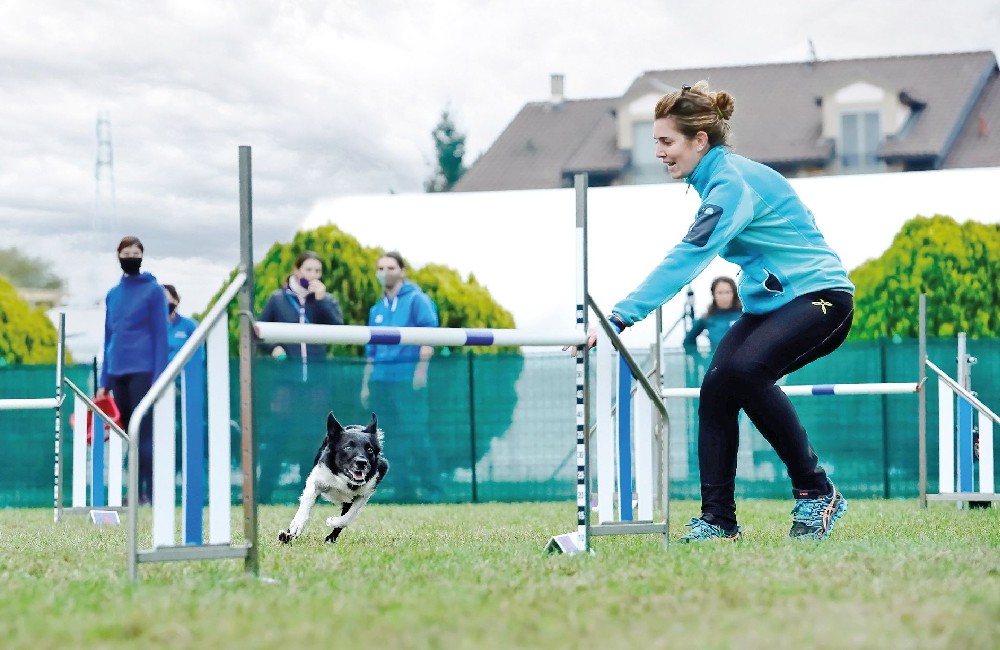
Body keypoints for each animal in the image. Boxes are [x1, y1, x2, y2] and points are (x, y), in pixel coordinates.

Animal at [278, 410, 386, 540]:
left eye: (370, 449)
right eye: (347, 447)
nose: (362, 463)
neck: (344, 480)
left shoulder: (365, 491)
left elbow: (349, 515)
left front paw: (333, 521)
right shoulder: (317, 477)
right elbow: (308, 499)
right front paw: (296, 526)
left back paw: (330, 538)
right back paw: (286, 536)